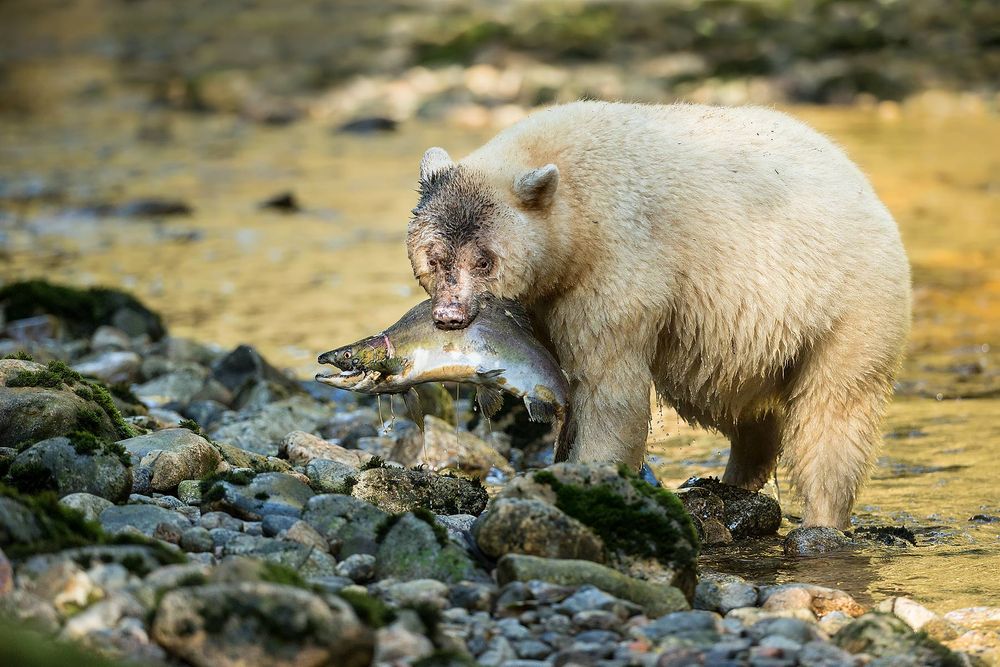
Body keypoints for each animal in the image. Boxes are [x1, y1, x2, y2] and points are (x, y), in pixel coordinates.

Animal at [406, 101, 911, 529]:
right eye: (434, 257)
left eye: (484, 259)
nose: (450, 316)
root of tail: (866, 189)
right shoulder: (544, 302)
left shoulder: (616, 265)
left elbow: (609, 390)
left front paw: (588, 473)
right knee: (736, 405)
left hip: (844, 306)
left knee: (833, 416)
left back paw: (821, 519)